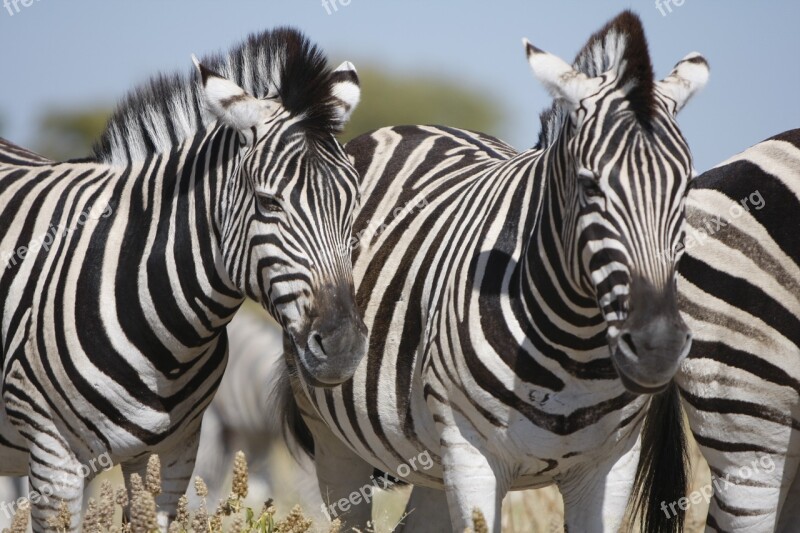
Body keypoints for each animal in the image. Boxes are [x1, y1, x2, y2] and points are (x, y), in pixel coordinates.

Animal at [284, 12, 708, 532]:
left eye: (686, 185)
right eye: (589, 186)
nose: (657, 348)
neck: (576, 348)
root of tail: (416, 124)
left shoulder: (612, 465)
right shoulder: (471, 457)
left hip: (430, 462)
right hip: (333, 432)